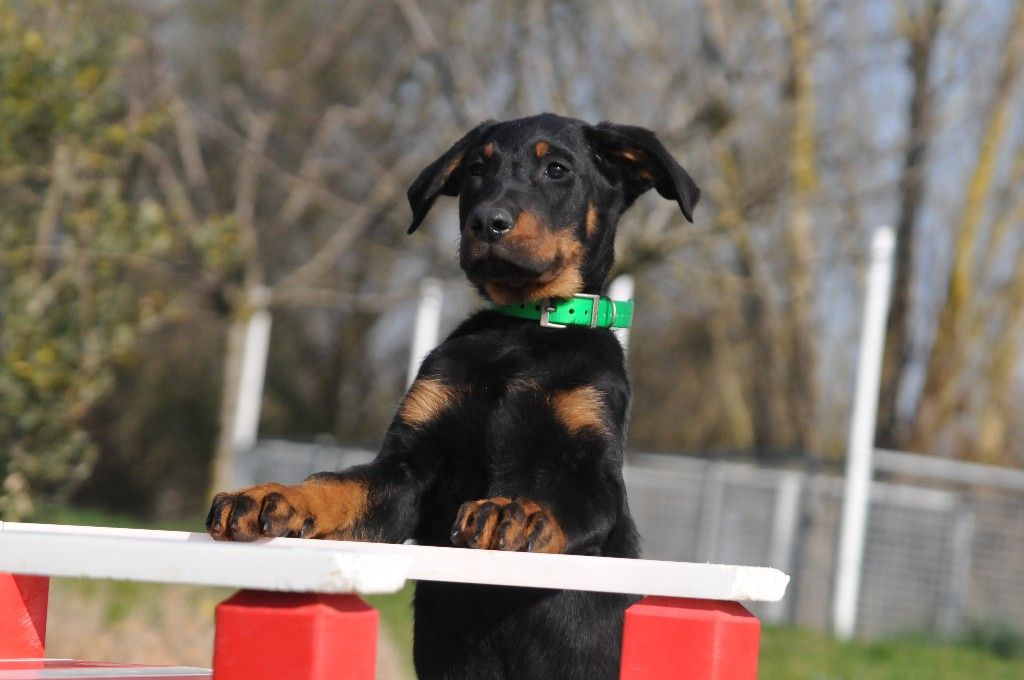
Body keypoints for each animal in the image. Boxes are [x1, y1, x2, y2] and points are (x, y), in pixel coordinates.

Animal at [206, 113, 699, 679]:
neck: (524, 331)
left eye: (557, 169)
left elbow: (564, 498)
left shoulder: (596, 476)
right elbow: (337, 483)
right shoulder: (407, 468)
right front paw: (272, 495)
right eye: (477, 170)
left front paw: (513, 512)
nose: (487, 223)